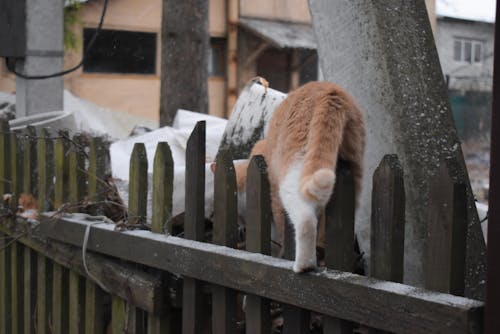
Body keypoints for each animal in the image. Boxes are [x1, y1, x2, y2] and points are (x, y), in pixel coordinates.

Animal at [232, 81, 366, 274]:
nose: (240, 228)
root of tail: (330, 89)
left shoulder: (275, 198)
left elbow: (281, 229)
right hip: (354, 170)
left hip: (294, 168)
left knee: (305, 219)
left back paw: (303, 265)